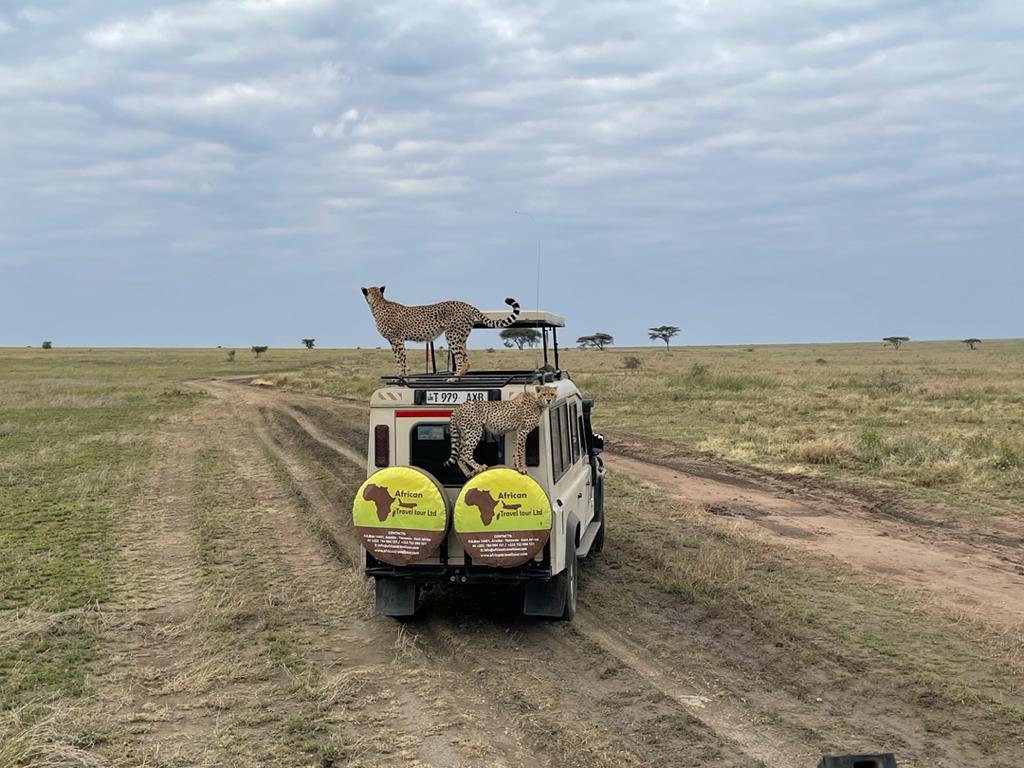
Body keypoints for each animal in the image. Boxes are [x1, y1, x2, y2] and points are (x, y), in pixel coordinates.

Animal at [362, 286, 520, 378]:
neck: (378, 303)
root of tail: (465, 304)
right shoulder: (394, 340)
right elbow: (398, 358)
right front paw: (401, 373)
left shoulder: (397, 339)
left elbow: (401, 358)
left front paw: (402, 375)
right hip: (461, 336)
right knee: (466, 358)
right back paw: (458, 375)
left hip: (452, 335)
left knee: (462, 359)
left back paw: (454, 378)